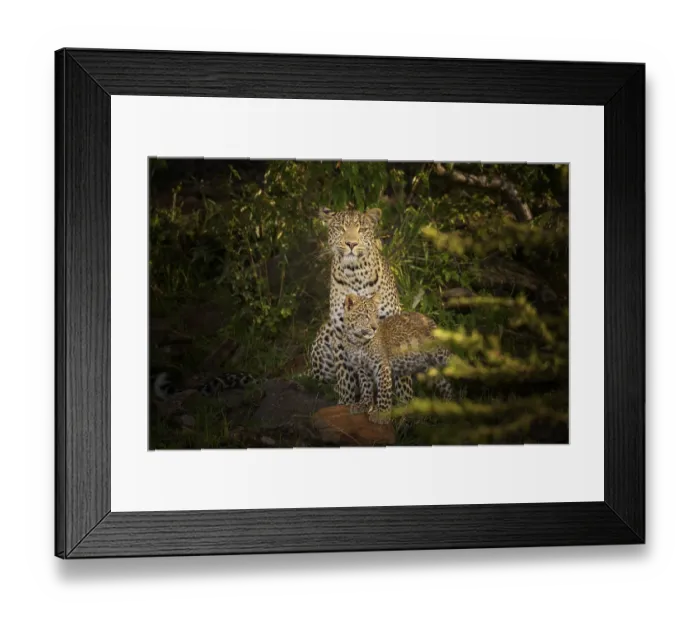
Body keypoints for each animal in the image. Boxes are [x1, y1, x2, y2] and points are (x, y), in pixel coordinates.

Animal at [310, 205, 413, 405]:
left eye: (362, 229)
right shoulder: (340, 330)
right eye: (340, 228)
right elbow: (345, 375)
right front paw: (346, 403)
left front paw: (406, 402)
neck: (355, 274)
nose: (351, 244)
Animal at [341, 293, 454, 425]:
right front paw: (364, 404)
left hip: (441, 354)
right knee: (445, 383)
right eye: (365, 315)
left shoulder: (381, 365)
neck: (357, 341)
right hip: (429, 366)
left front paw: (382, 414)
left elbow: (384, 390)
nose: (374, 327)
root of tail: (427, 318)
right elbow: (366, 386)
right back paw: (448, 405)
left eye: (375, 315)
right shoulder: (362, 367)